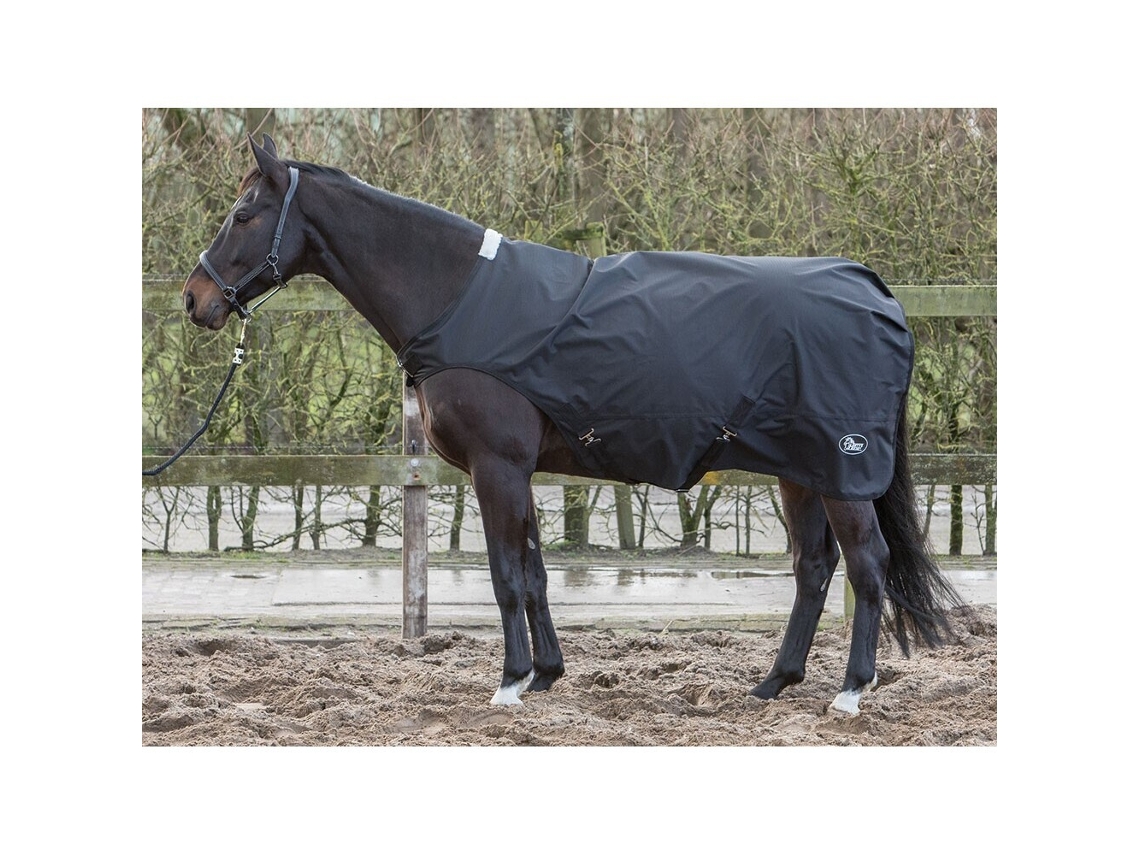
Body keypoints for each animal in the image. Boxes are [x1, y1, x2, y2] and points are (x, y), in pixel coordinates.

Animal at [180, 134, 964, 715]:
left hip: (843, 470)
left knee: (867, 567)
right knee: (813, 568)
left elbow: (505, 574)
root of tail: (876, 292)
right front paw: (545, 673)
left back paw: (851, 691)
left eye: (245, 212)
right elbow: (533, 572)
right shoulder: (517, 471)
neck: (457, 296)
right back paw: (774, 682)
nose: (195, 300)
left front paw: (508, 684)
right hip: (800, 471)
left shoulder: (496, 467)